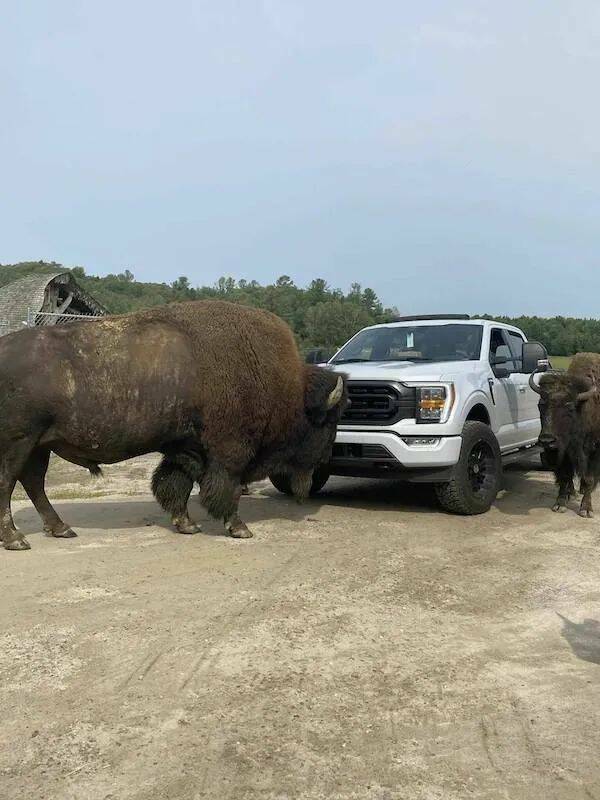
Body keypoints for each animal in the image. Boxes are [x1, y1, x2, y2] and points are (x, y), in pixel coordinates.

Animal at [0, 300, 346, 552]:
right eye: (328, 421)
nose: (326, 457)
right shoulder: (229, 451)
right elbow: (226, 488)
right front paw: (239, 529)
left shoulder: (184, 448)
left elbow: (174, 483)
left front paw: (187, 524)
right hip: (20, 442)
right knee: (9, 483)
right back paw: (17, 540)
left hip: (40, 445)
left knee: (33, 484)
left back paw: (61, 529)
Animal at [528, 352, 600, 516]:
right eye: (541, 404)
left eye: (569, 407)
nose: (547, 440)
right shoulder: (562, 453)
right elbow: (564, 476)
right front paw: (560, 504)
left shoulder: (593, 453)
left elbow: (589, 478)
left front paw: (586, 509)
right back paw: (571, 493)